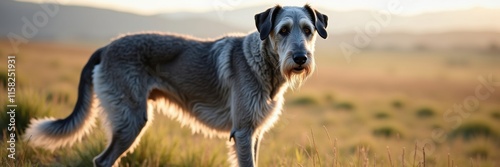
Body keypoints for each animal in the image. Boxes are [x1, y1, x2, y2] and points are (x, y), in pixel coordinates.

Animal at [24, 4, 328, 167]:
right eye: (283, 30)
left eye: (308, 30)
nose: (300, 59)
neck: (262, 62)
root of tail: (105, 48)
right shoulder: (242, 132)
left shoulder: (255, 133)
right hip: (131, 119)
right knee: (103, 160)